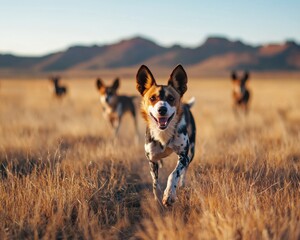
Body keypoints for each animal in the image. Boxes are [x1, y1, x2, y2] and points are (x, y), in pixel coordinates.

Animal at [136, 65, 197, 206]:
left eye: (171, 98)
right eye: (152, 98)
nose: (162, 109)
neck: (163, 133)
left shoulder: (183, 155)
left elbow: (174, 174)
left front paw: (169, 195)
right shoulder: (151, 159)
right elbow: (155, 182)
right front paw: (158, 197)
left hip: (191, 151)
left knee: (185, 170)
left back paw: (181, 185)